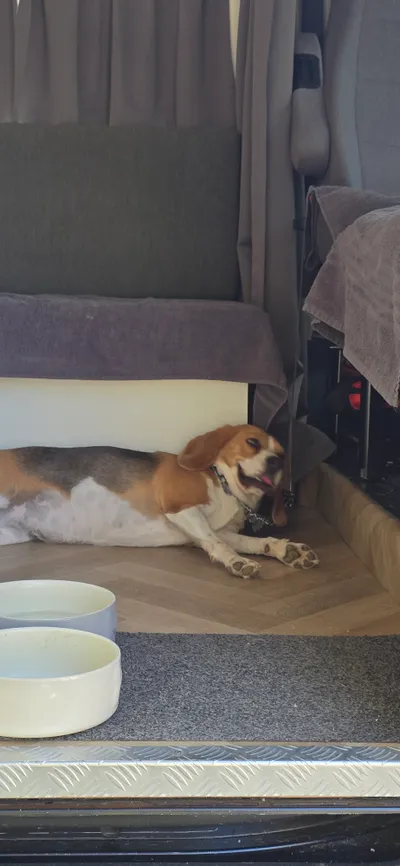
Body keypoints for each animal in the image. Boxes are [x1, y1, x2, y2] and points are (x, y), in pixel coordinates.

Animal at [0, 424, 318, 578]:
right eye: (252, 442)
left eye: (283, 454)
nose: (276, 462)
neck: (224, 486)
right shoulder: (181, 509)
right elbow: (218, 543)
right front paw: (235, 561)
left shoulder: (217, 530)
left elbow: (249, 541)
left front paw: (285, 550)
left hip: (12, 534)